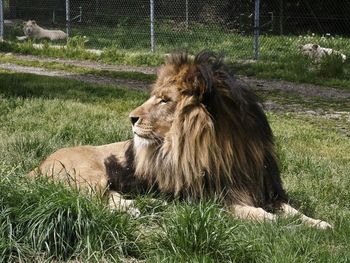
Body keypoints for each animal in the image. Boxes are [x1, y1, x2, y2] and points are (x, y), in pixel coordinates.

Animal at [29, 51, 330, 229]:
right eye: (155, 97)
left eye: (164, 100)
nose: (131, 118)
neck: (226, 149)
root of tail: (37, 166)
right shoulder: (212, 200)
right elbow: (260, 216)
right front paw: (279, 224)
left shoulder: (263, 189)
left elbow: (293, 211)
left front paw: (320, 224)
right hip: (91, 174)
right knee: (87, 200)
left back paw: (138, 206)